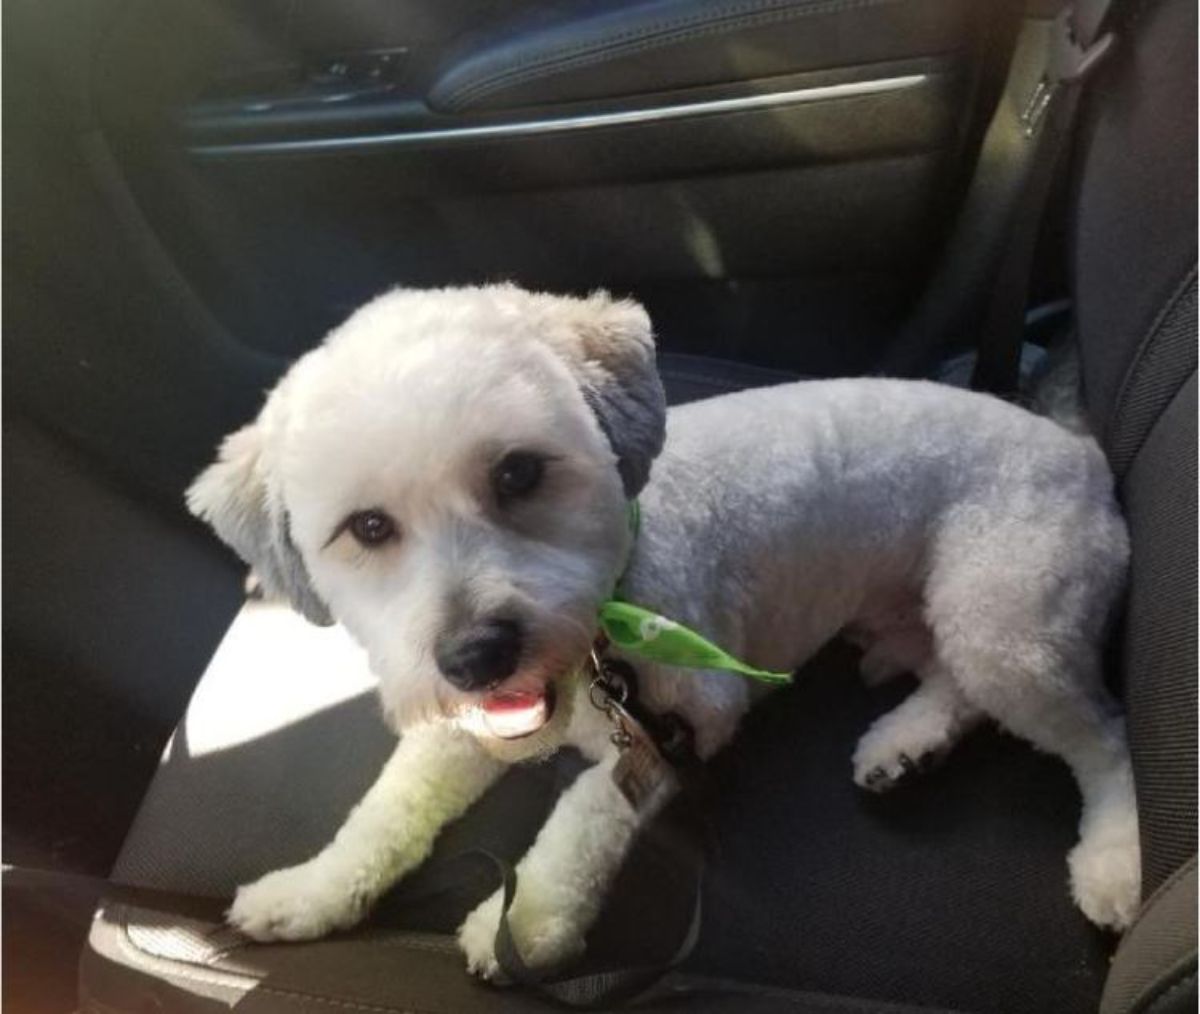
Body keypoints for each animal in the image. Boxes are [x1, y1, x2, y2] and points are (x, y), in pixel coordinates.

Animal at [189, 283, 1142, 974]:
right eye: (368, 528)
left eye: (518, 472)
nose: (476, 655)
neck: (605, 626)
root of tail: (1079, 448)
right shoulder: (465, 729)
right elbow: (386, 808)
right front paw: (311, 890)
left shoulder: (678, 723)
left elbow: (584, 814)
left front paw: (527, 921)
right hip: (965, 618)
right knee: (956, 683)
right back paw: (905, 741)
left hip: (1006, 615)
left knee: (1101, 735)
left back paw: (1116, 855)